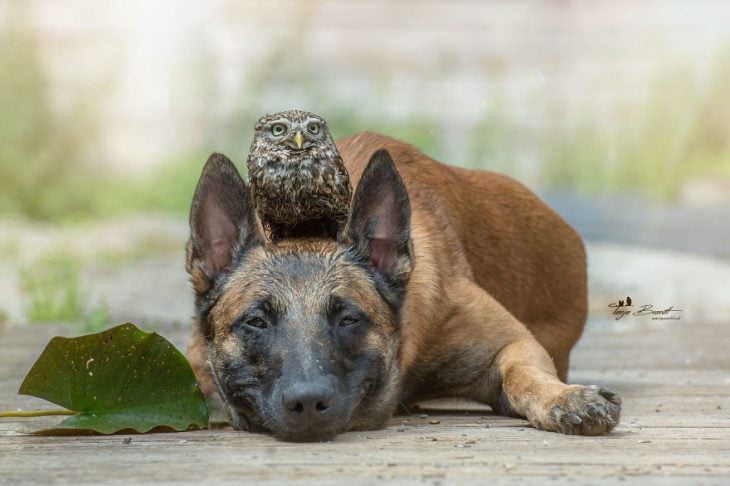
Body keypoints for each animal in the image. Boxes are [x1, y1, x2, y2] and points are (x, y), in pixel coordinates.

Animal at [183, 132, 620, 440]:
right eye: (255, 322)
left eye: (348, 319)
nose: (307, 403)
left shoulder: (514, 344)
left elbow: (523, 374)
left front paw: (565, 397)